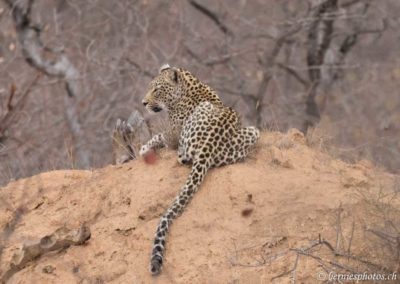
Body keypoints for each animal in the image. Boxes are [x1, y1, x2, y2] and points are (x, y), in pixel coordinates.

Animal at [128, 65, 260, 276]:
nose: (144, 103)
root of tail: (208, 148)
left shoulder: (172, 136)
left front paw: (143, 148)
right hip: (255, 131)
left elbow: (158, 136)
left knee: (181, 157)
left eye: (156, 89)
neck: (189, 84)